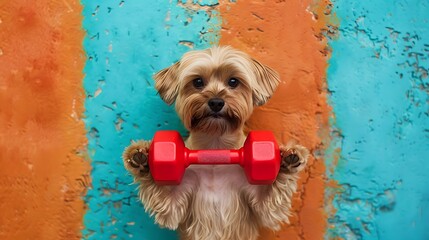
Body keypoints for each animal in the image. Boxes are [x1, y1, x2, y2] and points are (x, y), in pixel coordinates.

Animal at [123, 46, 308, 239]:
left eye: (233, 81)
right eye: (198, 81)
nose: (216, 102)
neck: (215, 147)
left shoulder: (262, 201)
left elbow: (269, 202)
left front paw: (289, 158)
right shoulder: (173, 201)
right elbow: (167, 202)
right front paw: (140, 157)